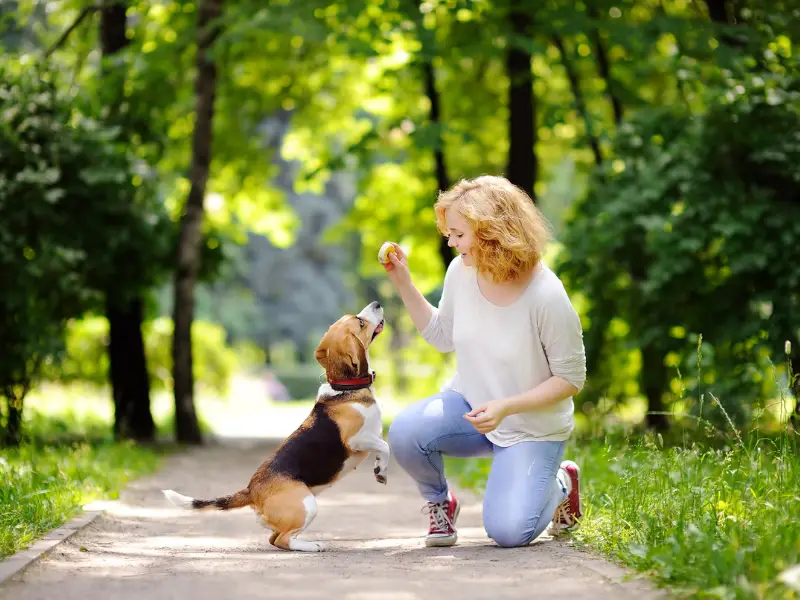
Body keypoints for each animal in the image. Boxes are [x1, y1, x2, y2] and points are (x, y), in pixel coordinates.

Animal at [162, 300, 388, 552]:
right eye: (360, 323)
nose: (377, 303)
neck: (345, 388)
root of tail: (251, 490)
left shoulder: (371, 437)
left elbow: (381, 447)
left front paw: (379, 469)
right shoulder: (357, 439)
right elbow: (385, 445)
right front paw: (381, 469)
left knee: (275, 539)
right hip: (307, 505)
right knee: (283, 539)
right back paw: (313, 545)